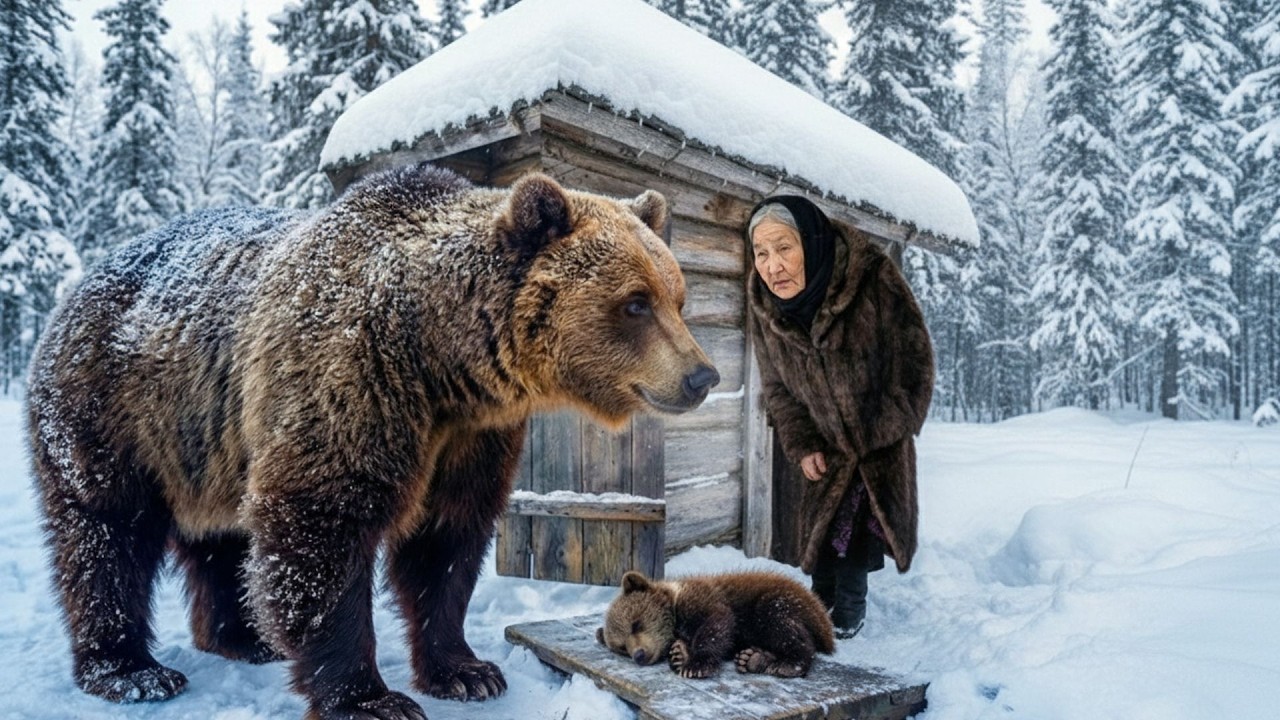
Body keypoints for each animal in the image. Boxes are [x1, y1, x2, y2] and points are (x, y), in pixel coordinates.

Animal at [25, 163, 719, 720]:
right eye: (635, 302)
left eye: (678, 297)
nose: (701, 376)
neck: (441, 361)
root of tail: (75, 290)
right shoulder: (350, 384)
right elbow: (322, 532)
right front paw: (370, 698)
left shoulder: (470, 438)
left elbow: (446, 544)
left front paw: (466, 671)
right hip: (115, 412)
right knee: (106, 535)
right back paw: (131, 670)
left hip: (210, 442)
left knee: (222, 540)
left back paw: (242, 636)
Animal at [597, 570, 835, 679]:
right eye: (622, 647)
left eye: (635, 624)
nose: (639, 654)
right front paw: (679, 654)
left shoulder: (703, 600)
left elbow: (716, 624)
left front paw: (695, 665)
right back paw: (752, 658)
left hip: (777, 601)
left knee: (781, 625)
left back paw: (788, 663)